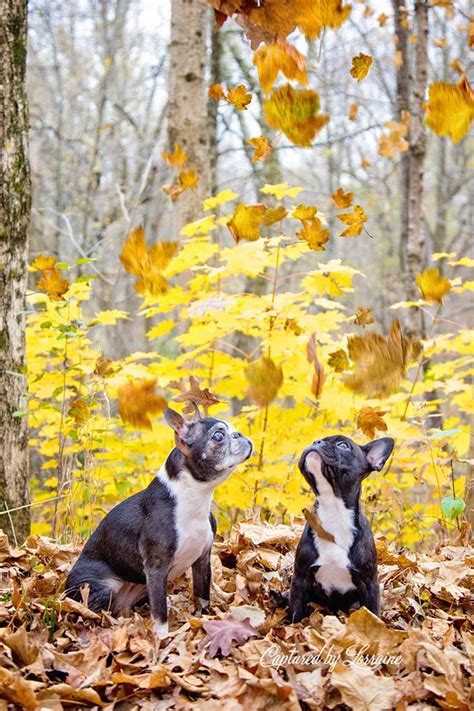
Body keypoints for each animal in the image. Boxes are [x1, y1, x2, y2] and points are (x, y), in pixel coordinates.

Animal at [65, 406, 256, 640]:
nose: (240, 435)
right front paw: (162, 639)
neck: (193, 498)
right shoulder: (156, 567)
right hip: (101, 587)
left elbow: (202, 596)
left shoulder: (202, 559)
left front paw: (203, 621)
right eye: (218, 436)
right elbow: (159, 612)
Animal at [290, 434, 394, 624]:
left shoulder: (370, 584)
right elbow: (296, 612)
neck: (333, 509)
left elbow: (373, 613)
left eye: (343, 445)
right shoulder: (300, 579)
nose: (316, 442)